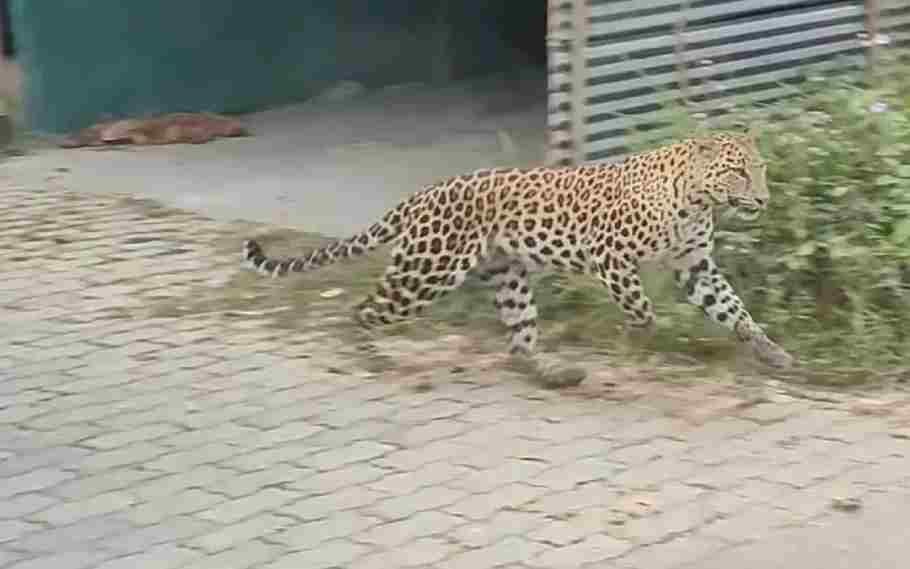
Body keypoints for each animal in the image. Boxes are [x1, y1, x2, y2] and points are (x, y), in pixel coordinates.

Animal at [244, 128, 800, 368]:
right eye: (737, 171)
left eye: (760, 168)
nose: (763, 198)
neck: (696, 200)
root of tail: (422, 194)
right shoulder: (611, 256)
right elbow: (641, 306)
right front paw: (641, 336)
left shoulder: (696, 266)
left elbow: (734, 310)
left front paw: (771, 351)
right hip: (428, 270)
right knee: (365, 308)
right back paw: (364, 351)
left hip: (505, 272)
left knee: (520, 330)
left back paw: (546, 370)